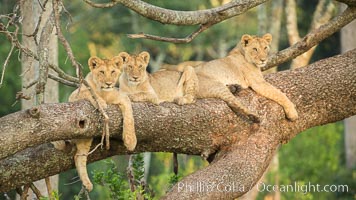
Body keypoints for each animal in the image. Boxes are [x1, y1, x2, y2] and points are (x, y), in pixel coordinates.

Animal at [52, 55, 136, 191]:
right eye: (101, 72)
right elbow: (90, 93)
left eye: (113, 72)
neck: (103, 92)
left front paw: (130, 141)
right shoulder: (75, 95)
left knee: (79, 156)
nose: (108, 83)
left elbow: (129, 113)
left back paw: (87, 183)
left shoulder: (122, 97)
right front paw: (101, 102)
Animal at [165, 33, 298, 121]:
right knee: (233, 103)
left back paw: (234, 87)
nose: (263, 60)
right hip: (214, 86)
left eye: (265, 48)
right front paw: (292, 113)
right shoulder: (258, 83)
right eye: (255, 49)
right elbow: (280, 94)